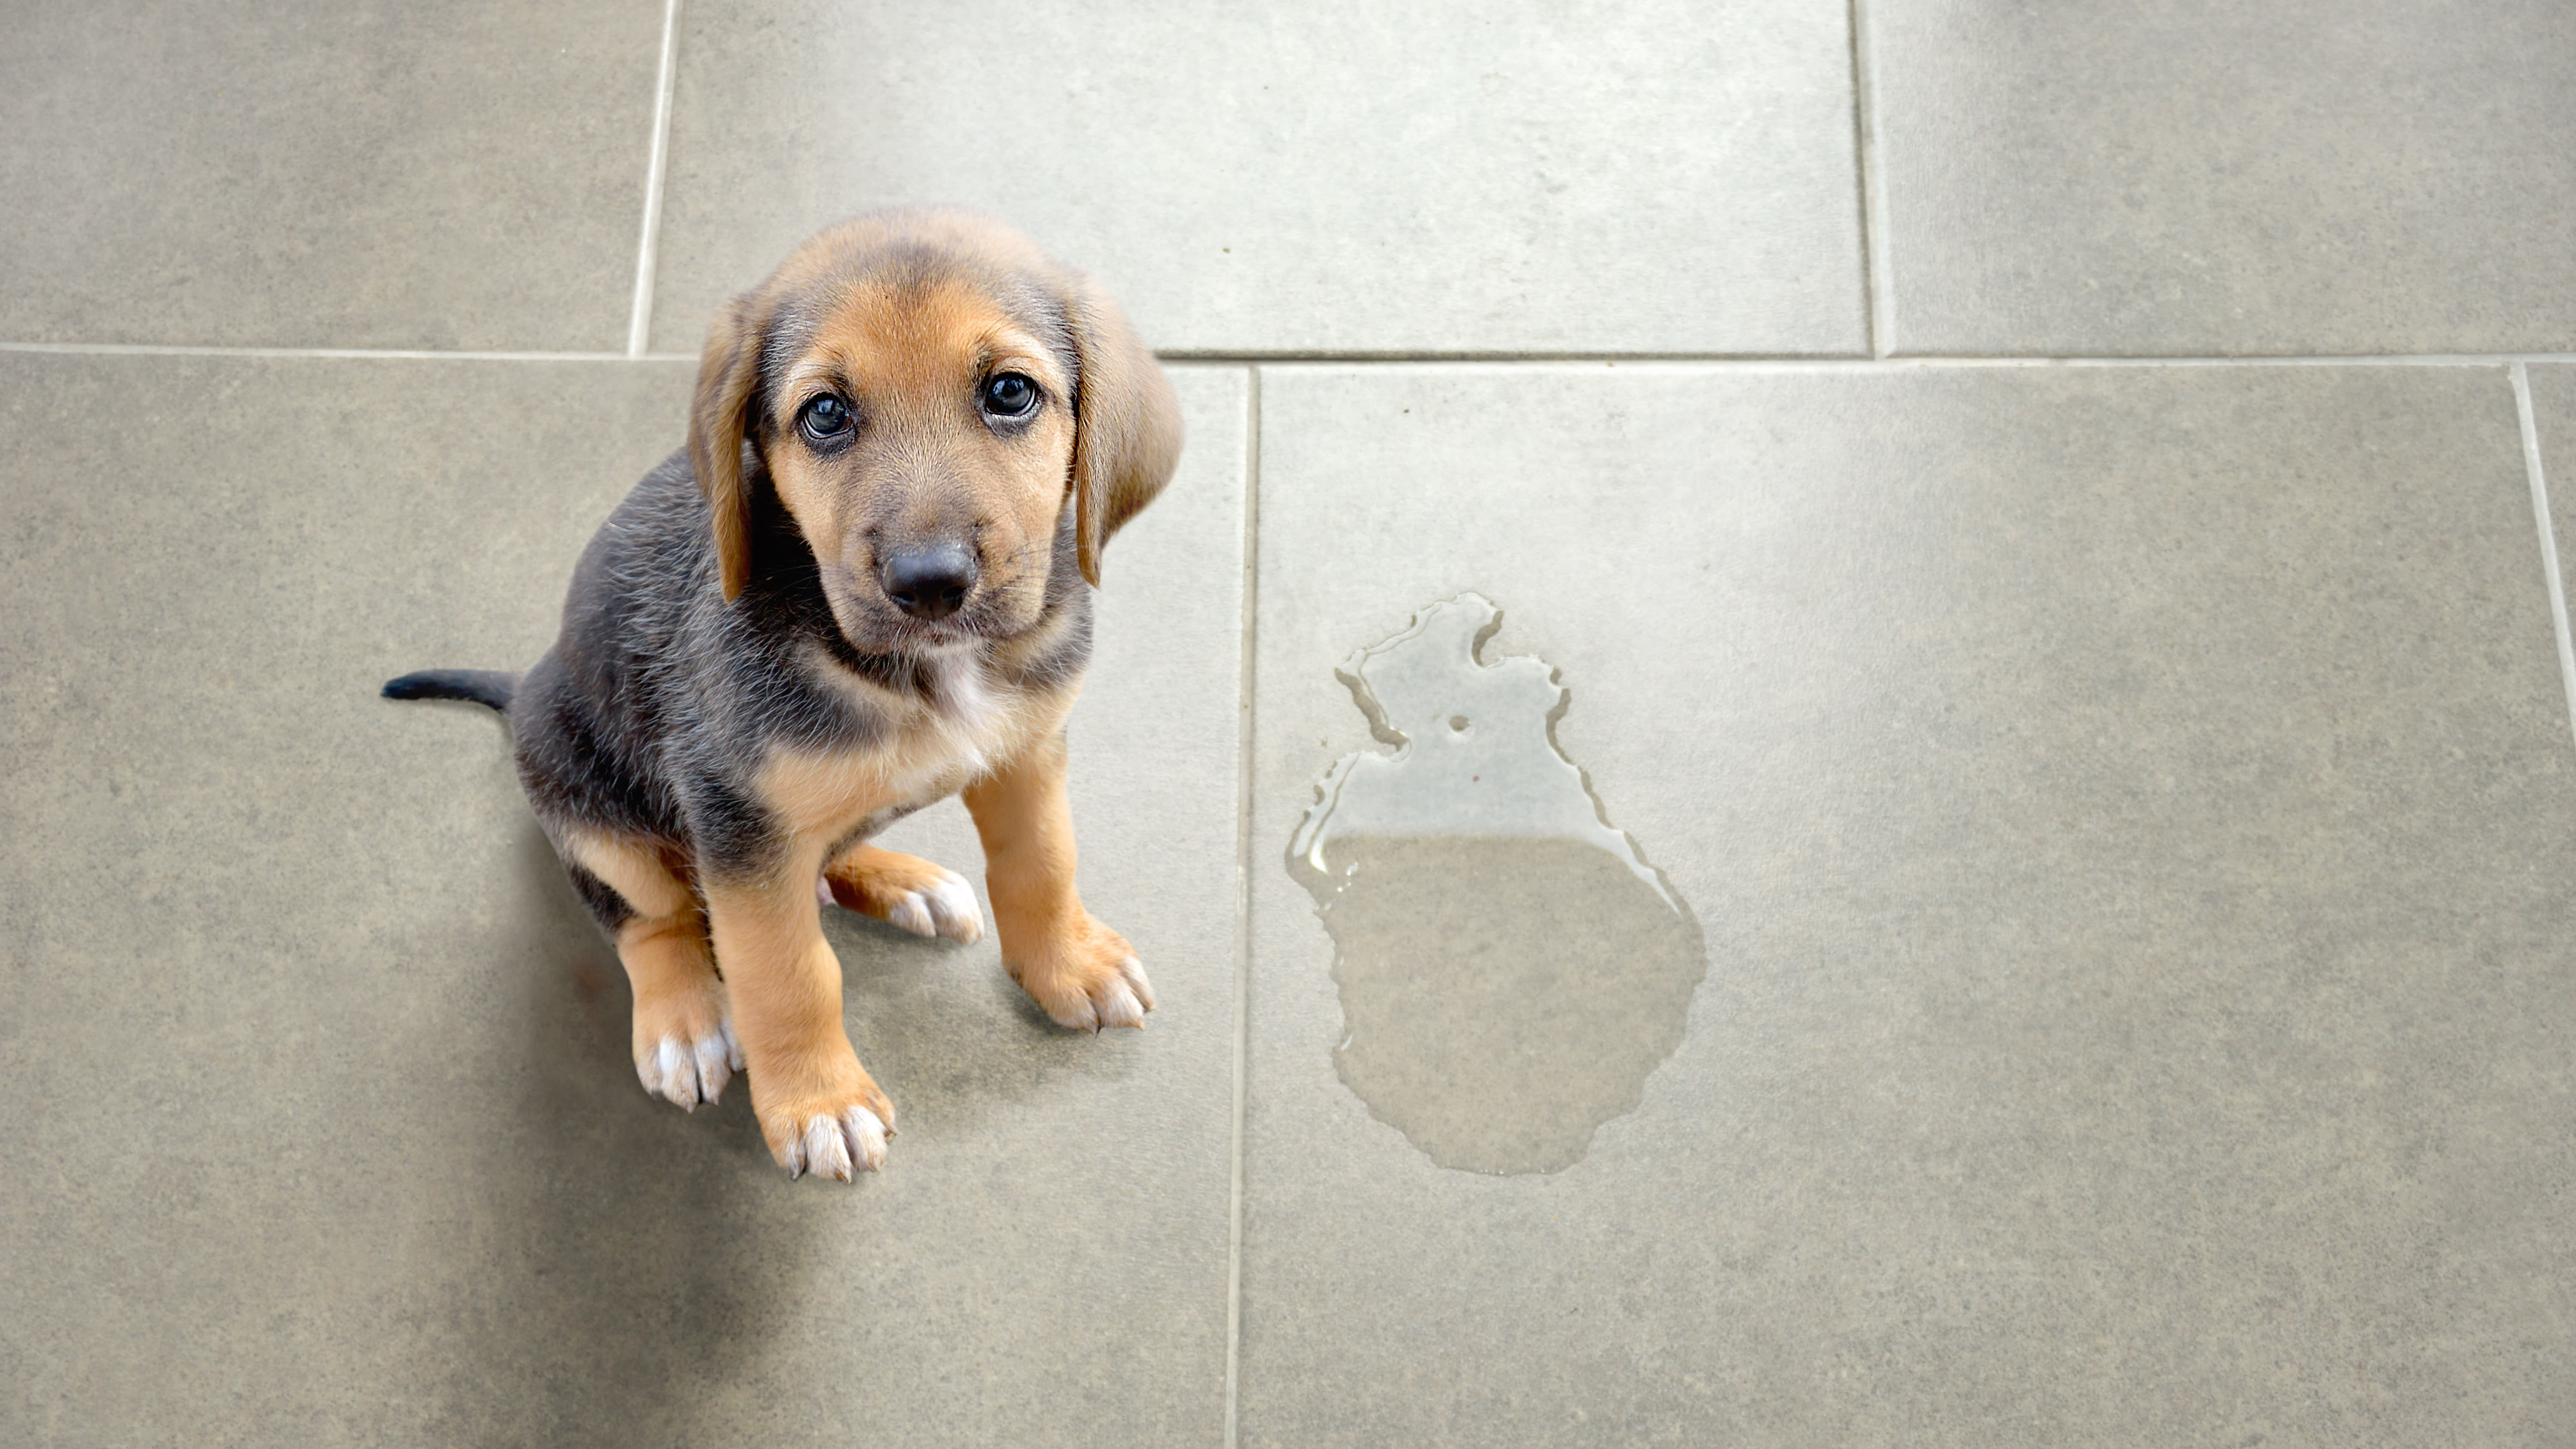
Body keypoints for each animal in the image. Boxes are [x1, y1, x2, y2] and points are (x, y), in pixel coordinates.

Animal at [384, 206, 1185, 1175]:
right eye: (826, 414)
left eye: (1010, 393)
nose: (930, 584)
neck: (924, 672)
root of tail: (526, 683)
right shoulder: (737, 818)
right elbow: (787, 974)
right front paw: (817, 1101)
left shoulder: (1026, 752)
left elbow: (1042, 863)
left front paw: (1067, 962)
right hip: (585, 799)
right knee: (648, 917)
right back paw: (685, 1019)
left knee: (826, 853)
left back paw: (904, 880)